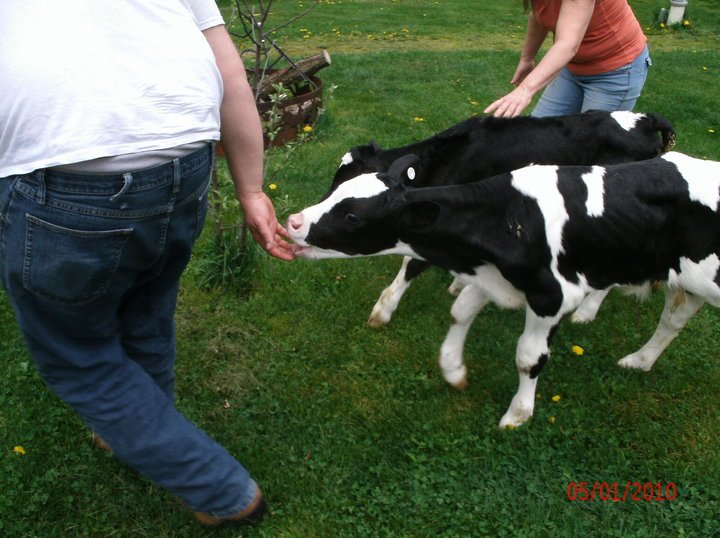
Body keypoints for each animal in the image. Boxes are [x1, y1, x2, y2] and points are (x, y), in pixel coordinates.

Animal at [287, 151, 720, 428]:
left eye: (352, 215)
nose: (292, 221)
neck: (505, 217)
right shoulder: (489, 276)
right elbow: (460, 312)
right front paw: (454, 369)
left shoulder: (552, 296)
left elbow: (529, 358)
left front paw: (517, 415)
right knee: (672, 320)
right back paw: (640, 360)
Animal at [327, 110, 676, 328]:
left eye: (348, 181)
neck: (446, 160)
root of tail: (646, 120)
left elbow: (411, 264)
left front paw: (382, 311)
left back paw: (586, 312)